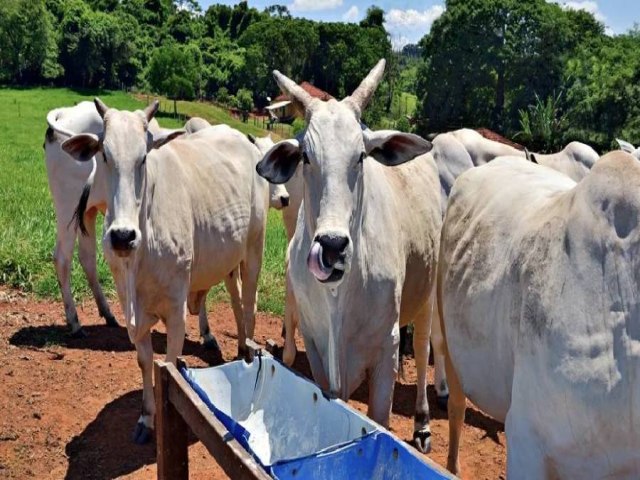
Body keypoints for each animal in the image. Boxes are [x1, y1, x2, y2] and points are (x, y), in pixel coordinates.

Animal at [62, 99, 268, 444]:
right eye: (104, 155)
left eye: (143, 157)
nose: (122, 236)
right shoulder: (132, 308)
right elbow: (145, 361)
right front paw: (147, 418)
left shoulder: (175, 309)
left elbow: (170, 366)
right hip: (228, 259)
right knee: (238, 301)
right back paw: (239, 348)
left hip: (254, 249)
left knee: (249, 306)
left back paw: (247, 354)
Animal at [254, 59, 440, 450]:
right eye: (306, 157)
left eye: (361, 156)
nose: (332, 246)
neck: (339, 294)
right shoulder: (317, 348)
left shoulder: (386, 348)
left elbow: (380, 419)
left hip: (428, 293)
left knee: (423, 348)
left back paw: (422, 423)